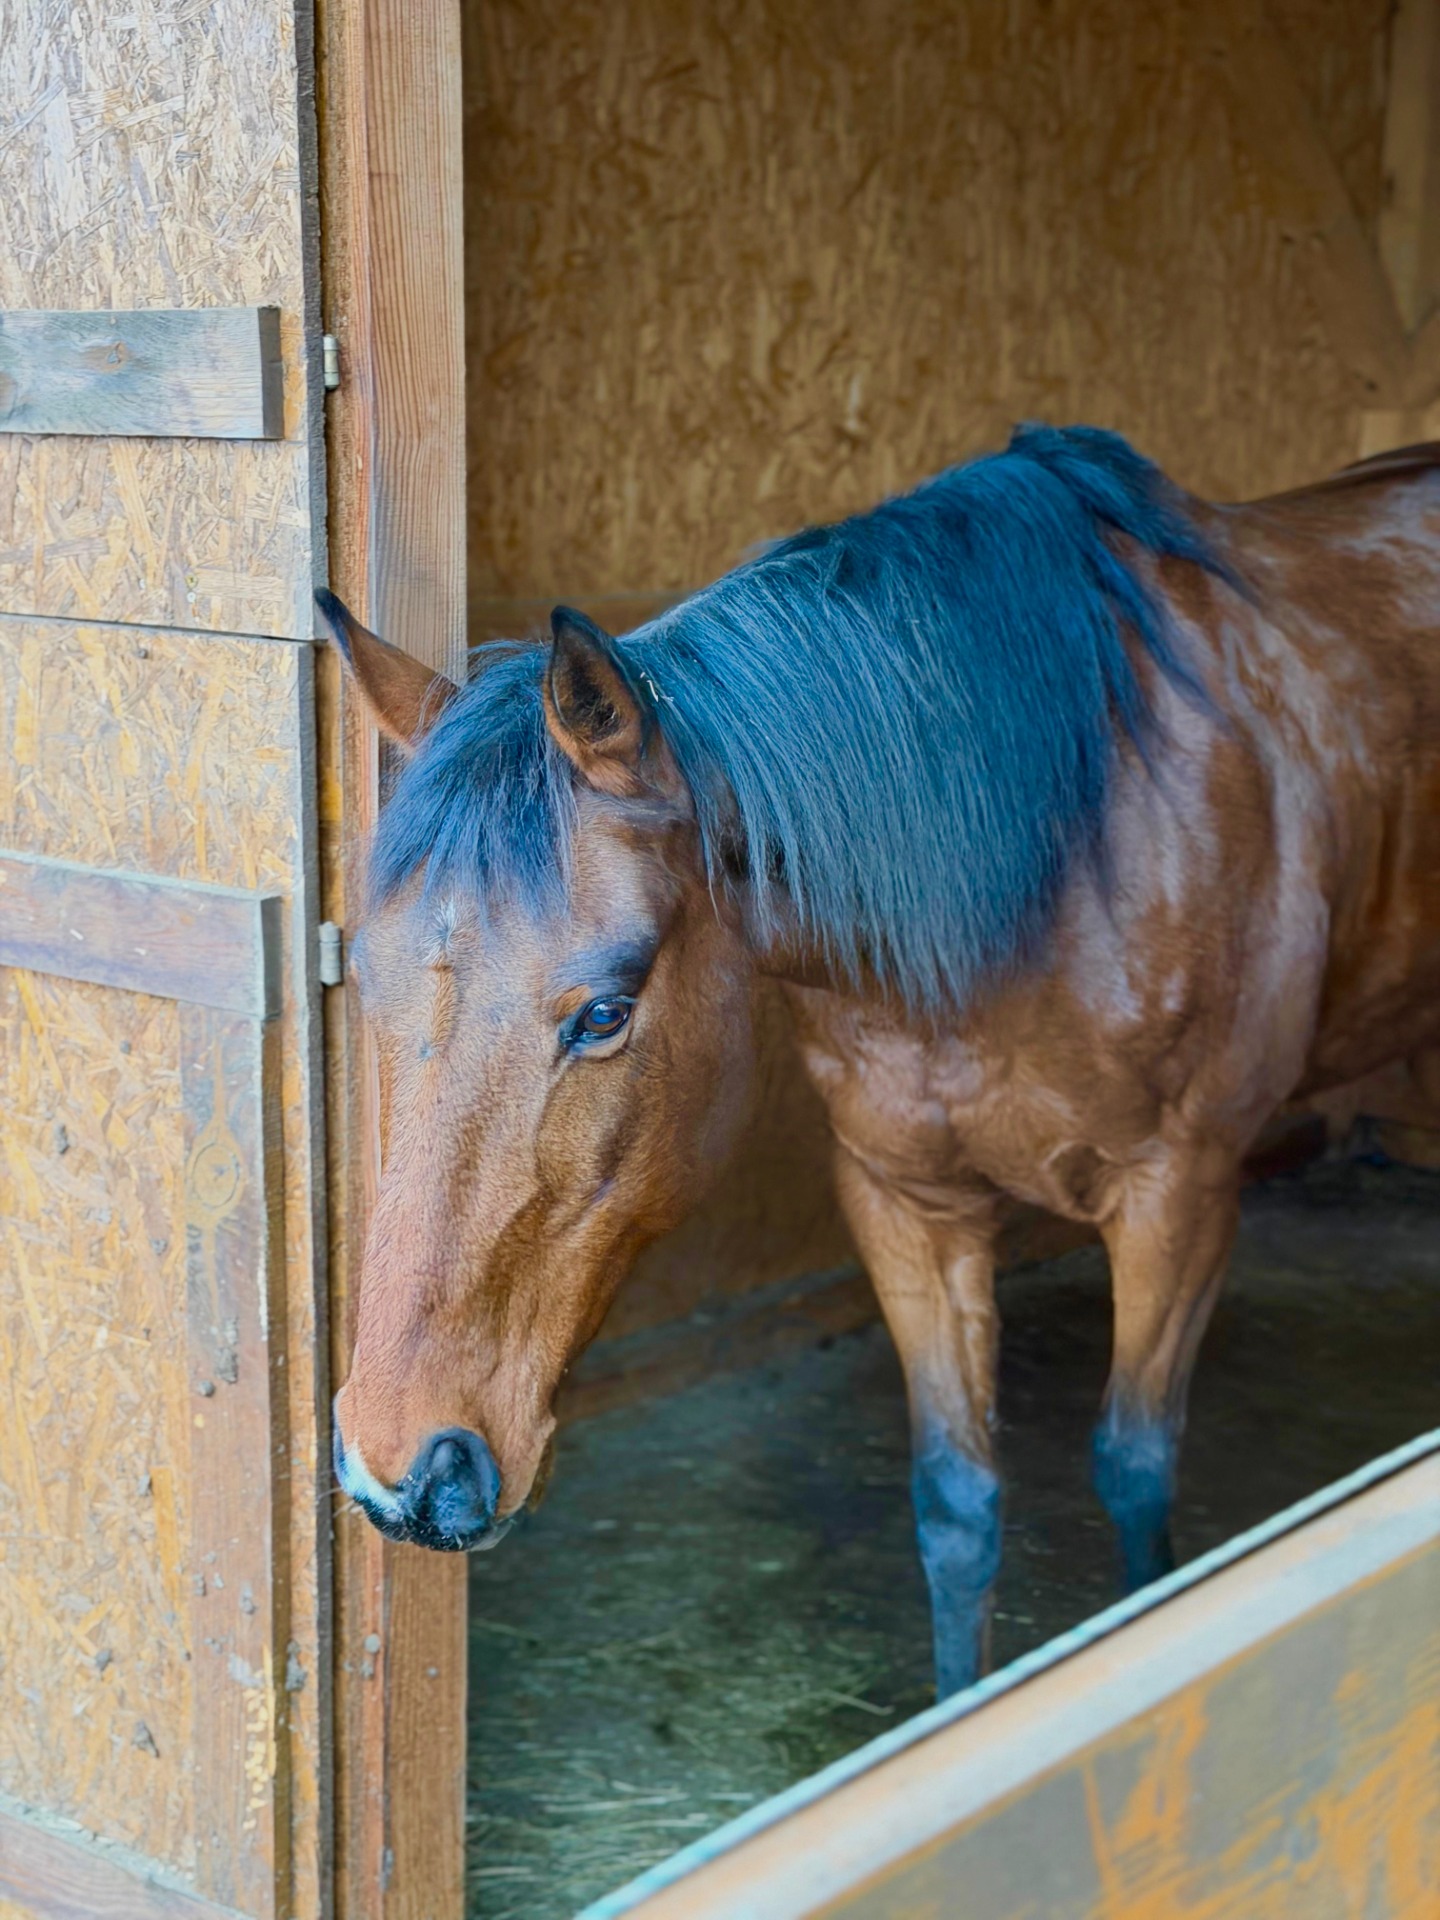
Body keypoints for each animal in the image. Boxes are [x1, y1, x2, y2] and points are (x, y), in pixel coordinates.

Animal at [318, 425, 1440, 1697]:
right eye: (368, 978)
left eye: (603, 1013)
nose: (399, 1468)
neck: (1058, 856)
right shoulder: (906, 1203)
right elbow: (957, 1508)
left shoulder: (1182, 1199)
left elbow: (1135, 1480)